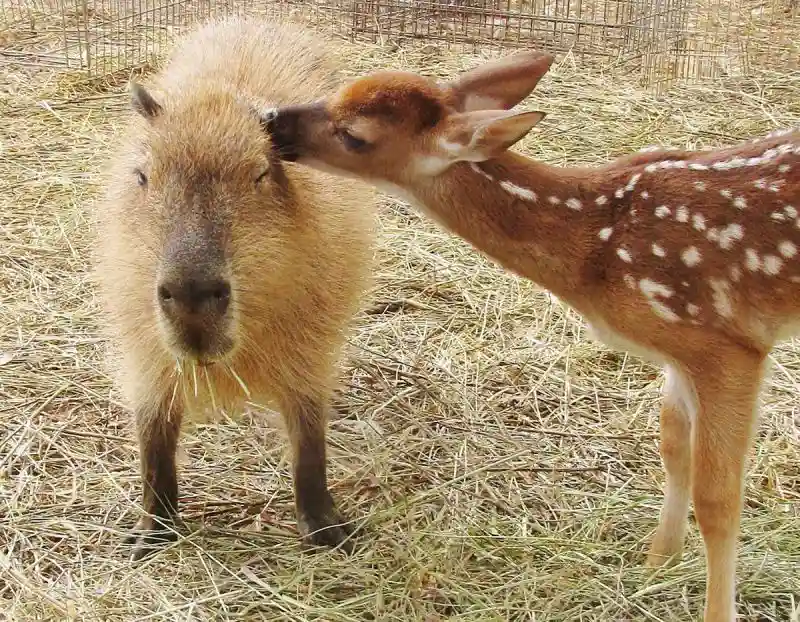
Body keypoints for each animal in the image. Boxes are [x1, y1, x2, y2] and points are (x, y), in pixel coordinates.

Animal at [268, 51, 800, 620]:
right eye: (338, 90)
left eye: (354, 135)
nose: (271, 117)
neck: (595, 246)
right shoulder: (678, 350)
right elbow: (672, 445)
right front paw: (656, 566)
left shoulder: (729, 344)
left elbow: (718, 498)